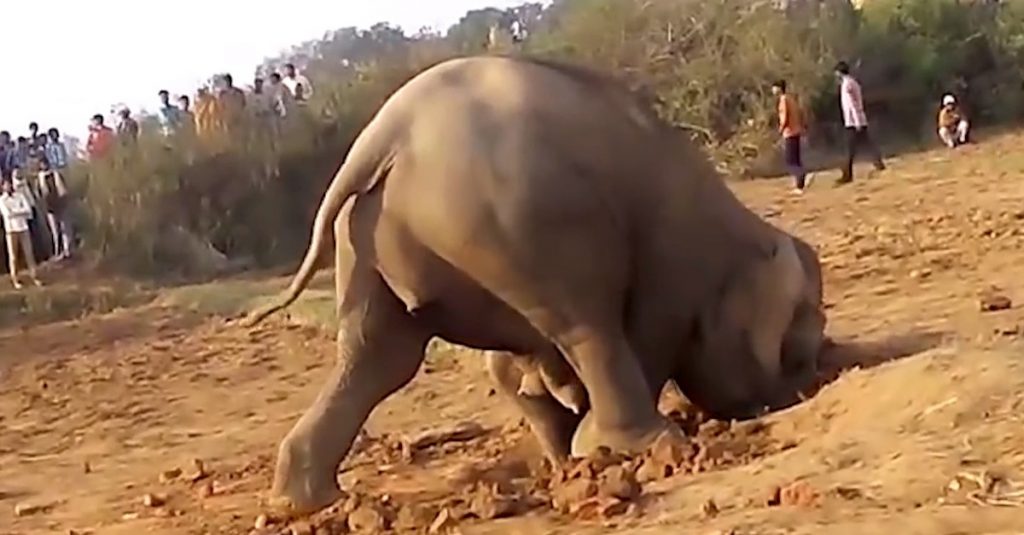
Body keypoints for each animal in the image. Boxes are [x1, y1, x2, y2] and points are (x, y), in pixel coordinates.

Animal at [244, 55, 827, 514]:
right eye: (797, 345)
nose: (815, 378)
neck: (741, 226)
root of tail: (382, 136)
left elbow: (510, 368)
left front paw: (568, 452)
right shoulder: (674, 252)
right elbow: (650, 326)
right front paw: (594, 449)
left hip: (372, 235)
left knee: (379, 358)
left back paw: (306, 502)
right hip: (514, 219)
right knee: (586, 324)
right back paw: (650, 443)